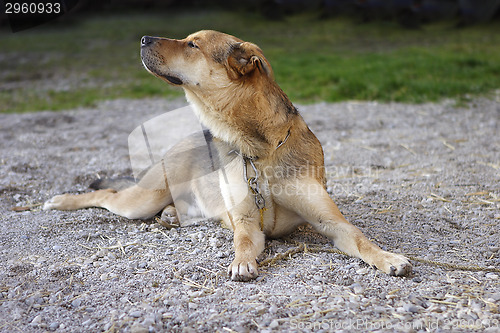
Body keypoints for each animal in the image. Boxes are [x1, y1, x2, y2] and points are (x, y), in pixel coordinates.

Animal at [44, 29, 410, 280]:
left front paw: (388, 258)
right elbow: (243, 241)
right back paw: (61, 200)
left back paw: (172, 215)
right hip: (142, 200)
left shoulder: (331, 221)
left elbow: (361, 239)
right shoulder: (247, 223)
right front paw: (241, 262)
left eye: (192, 45)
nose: (144, 38)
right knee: (106, 193)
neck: (260, 152)